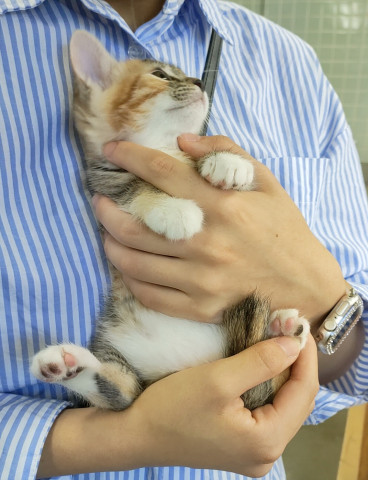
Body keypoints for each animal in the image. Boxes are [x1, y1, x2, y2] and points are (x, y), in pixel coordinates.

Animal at [30, 31, 310, 408]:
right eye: (160, 75)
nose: (198, 82)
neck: (159, 147)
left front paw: (227, 162)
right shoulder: (105, 183)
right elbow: (136, 189)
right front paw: (175, 211)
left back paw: (282, 328)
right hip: (124, 358)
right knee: (121, 393)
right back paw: (63, 365)